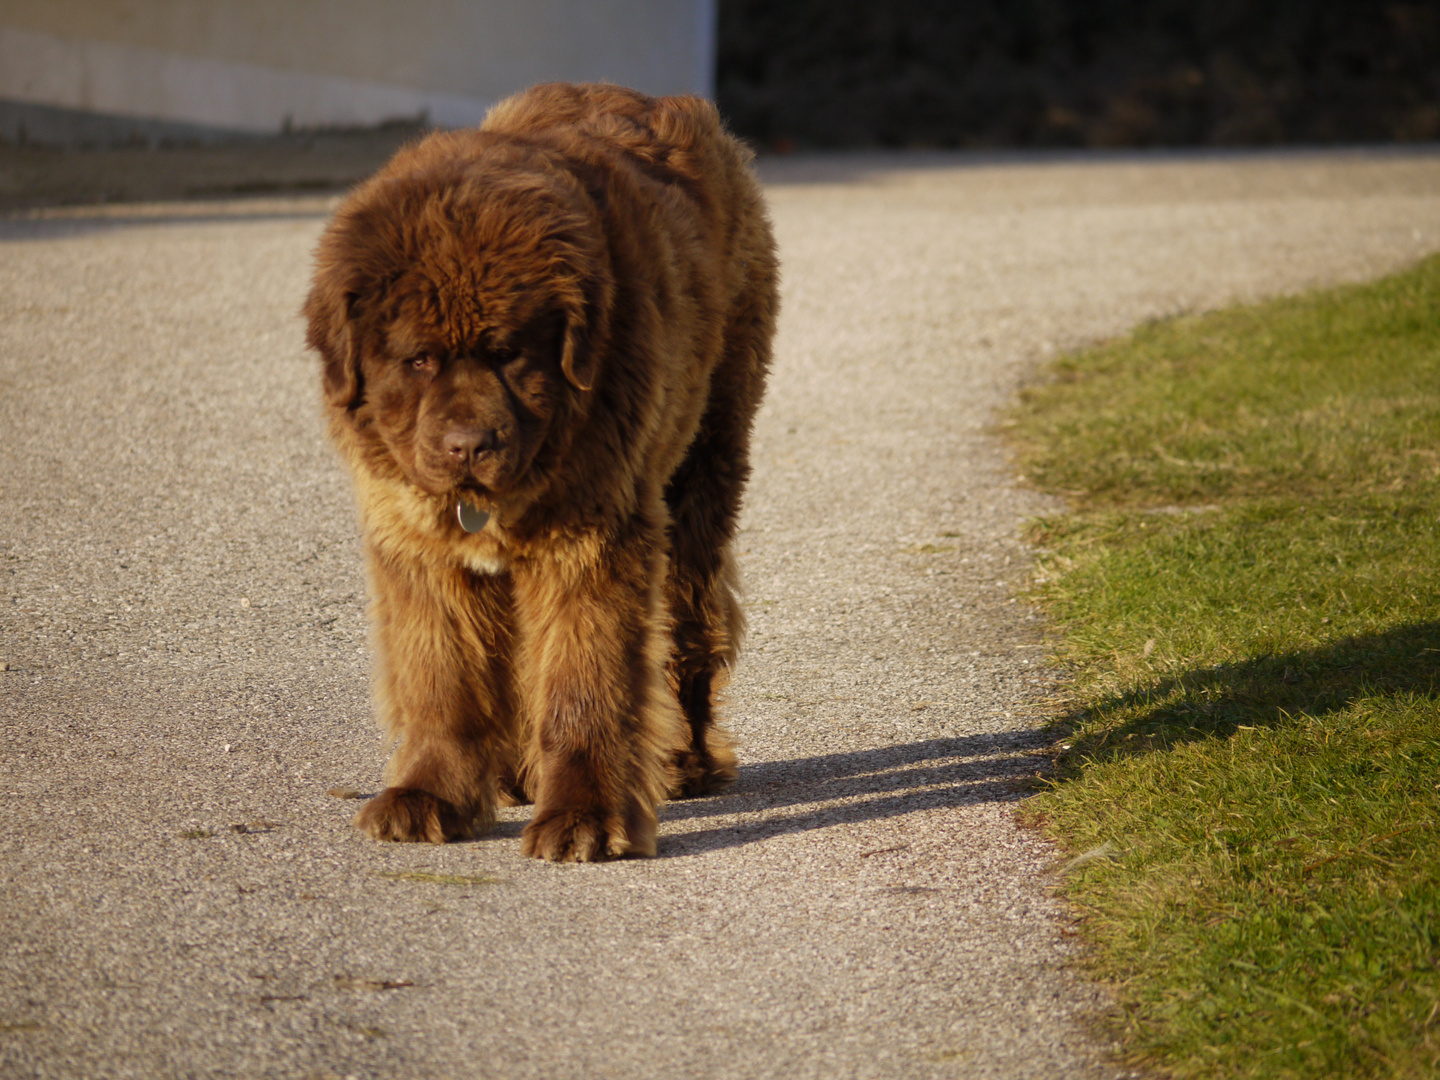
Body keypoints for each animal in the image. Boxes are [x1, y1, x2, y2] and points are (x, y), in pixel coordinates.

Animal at [300, 82, 777, 864]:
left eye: (509, 355)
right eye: (419, 359)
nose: (468, 445)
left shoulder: (593, 539)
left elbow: (586, 681)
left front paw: (586, 817)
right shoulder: (422, 544)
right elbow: (442, 675)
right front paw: (429, 795)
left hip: (702, 470)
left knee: (690, 629)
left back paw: (688, 760)